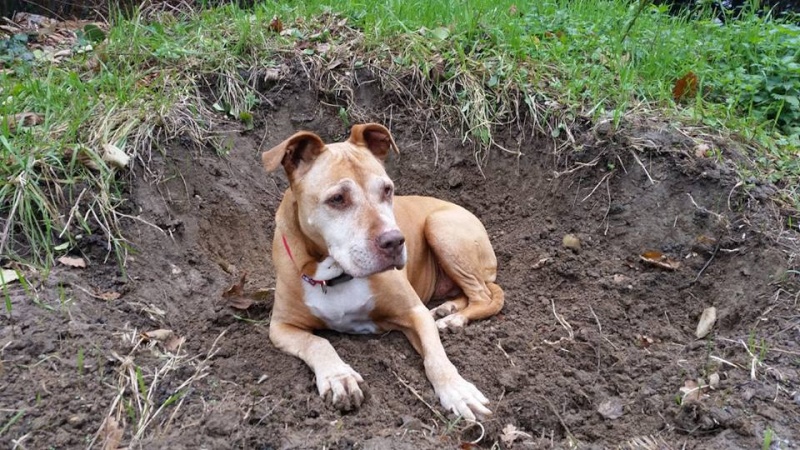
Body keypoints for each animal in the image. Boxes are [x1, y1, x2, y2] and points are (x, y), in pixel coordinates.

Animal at [262, 122, 504, 418]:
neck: (335, 276)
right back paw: (448, 309)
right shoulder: (281, 326)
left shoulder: (414, 312)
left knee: (482, 296)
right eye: (337, 199)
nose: (395, 241)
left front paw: (457, 390)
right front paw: (339, 377)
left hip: (440, 227)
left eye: (387, 190)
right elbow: (317, 342)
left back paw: (453, 320)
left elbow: (436, 357)